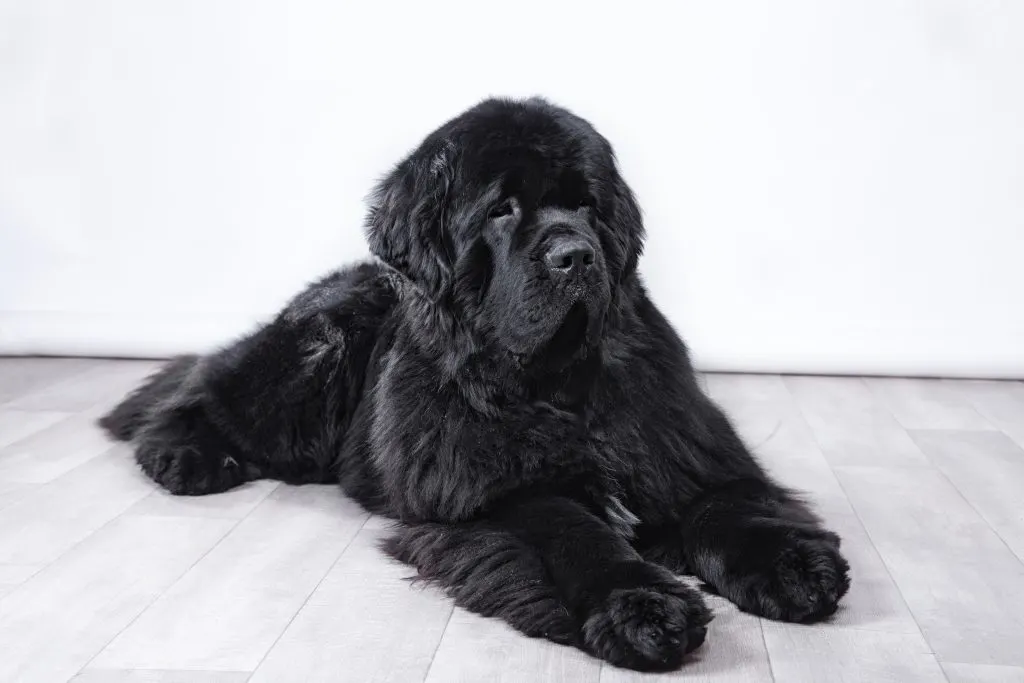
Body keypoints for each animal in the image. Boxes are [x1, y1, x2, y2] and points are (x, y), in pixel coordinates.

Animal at [99, 97, 847, 671]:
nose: (577, 255)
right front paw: (640, 604)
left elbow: (727, 506)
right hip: (318, 346)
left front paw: (791, 565)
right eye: (501, 210)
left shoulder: (682, 451)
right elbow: (572, 529)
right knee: (204, 387)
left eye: (587, 206)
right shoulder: (490, 493)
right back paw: (183, 454)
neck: (556, 386)